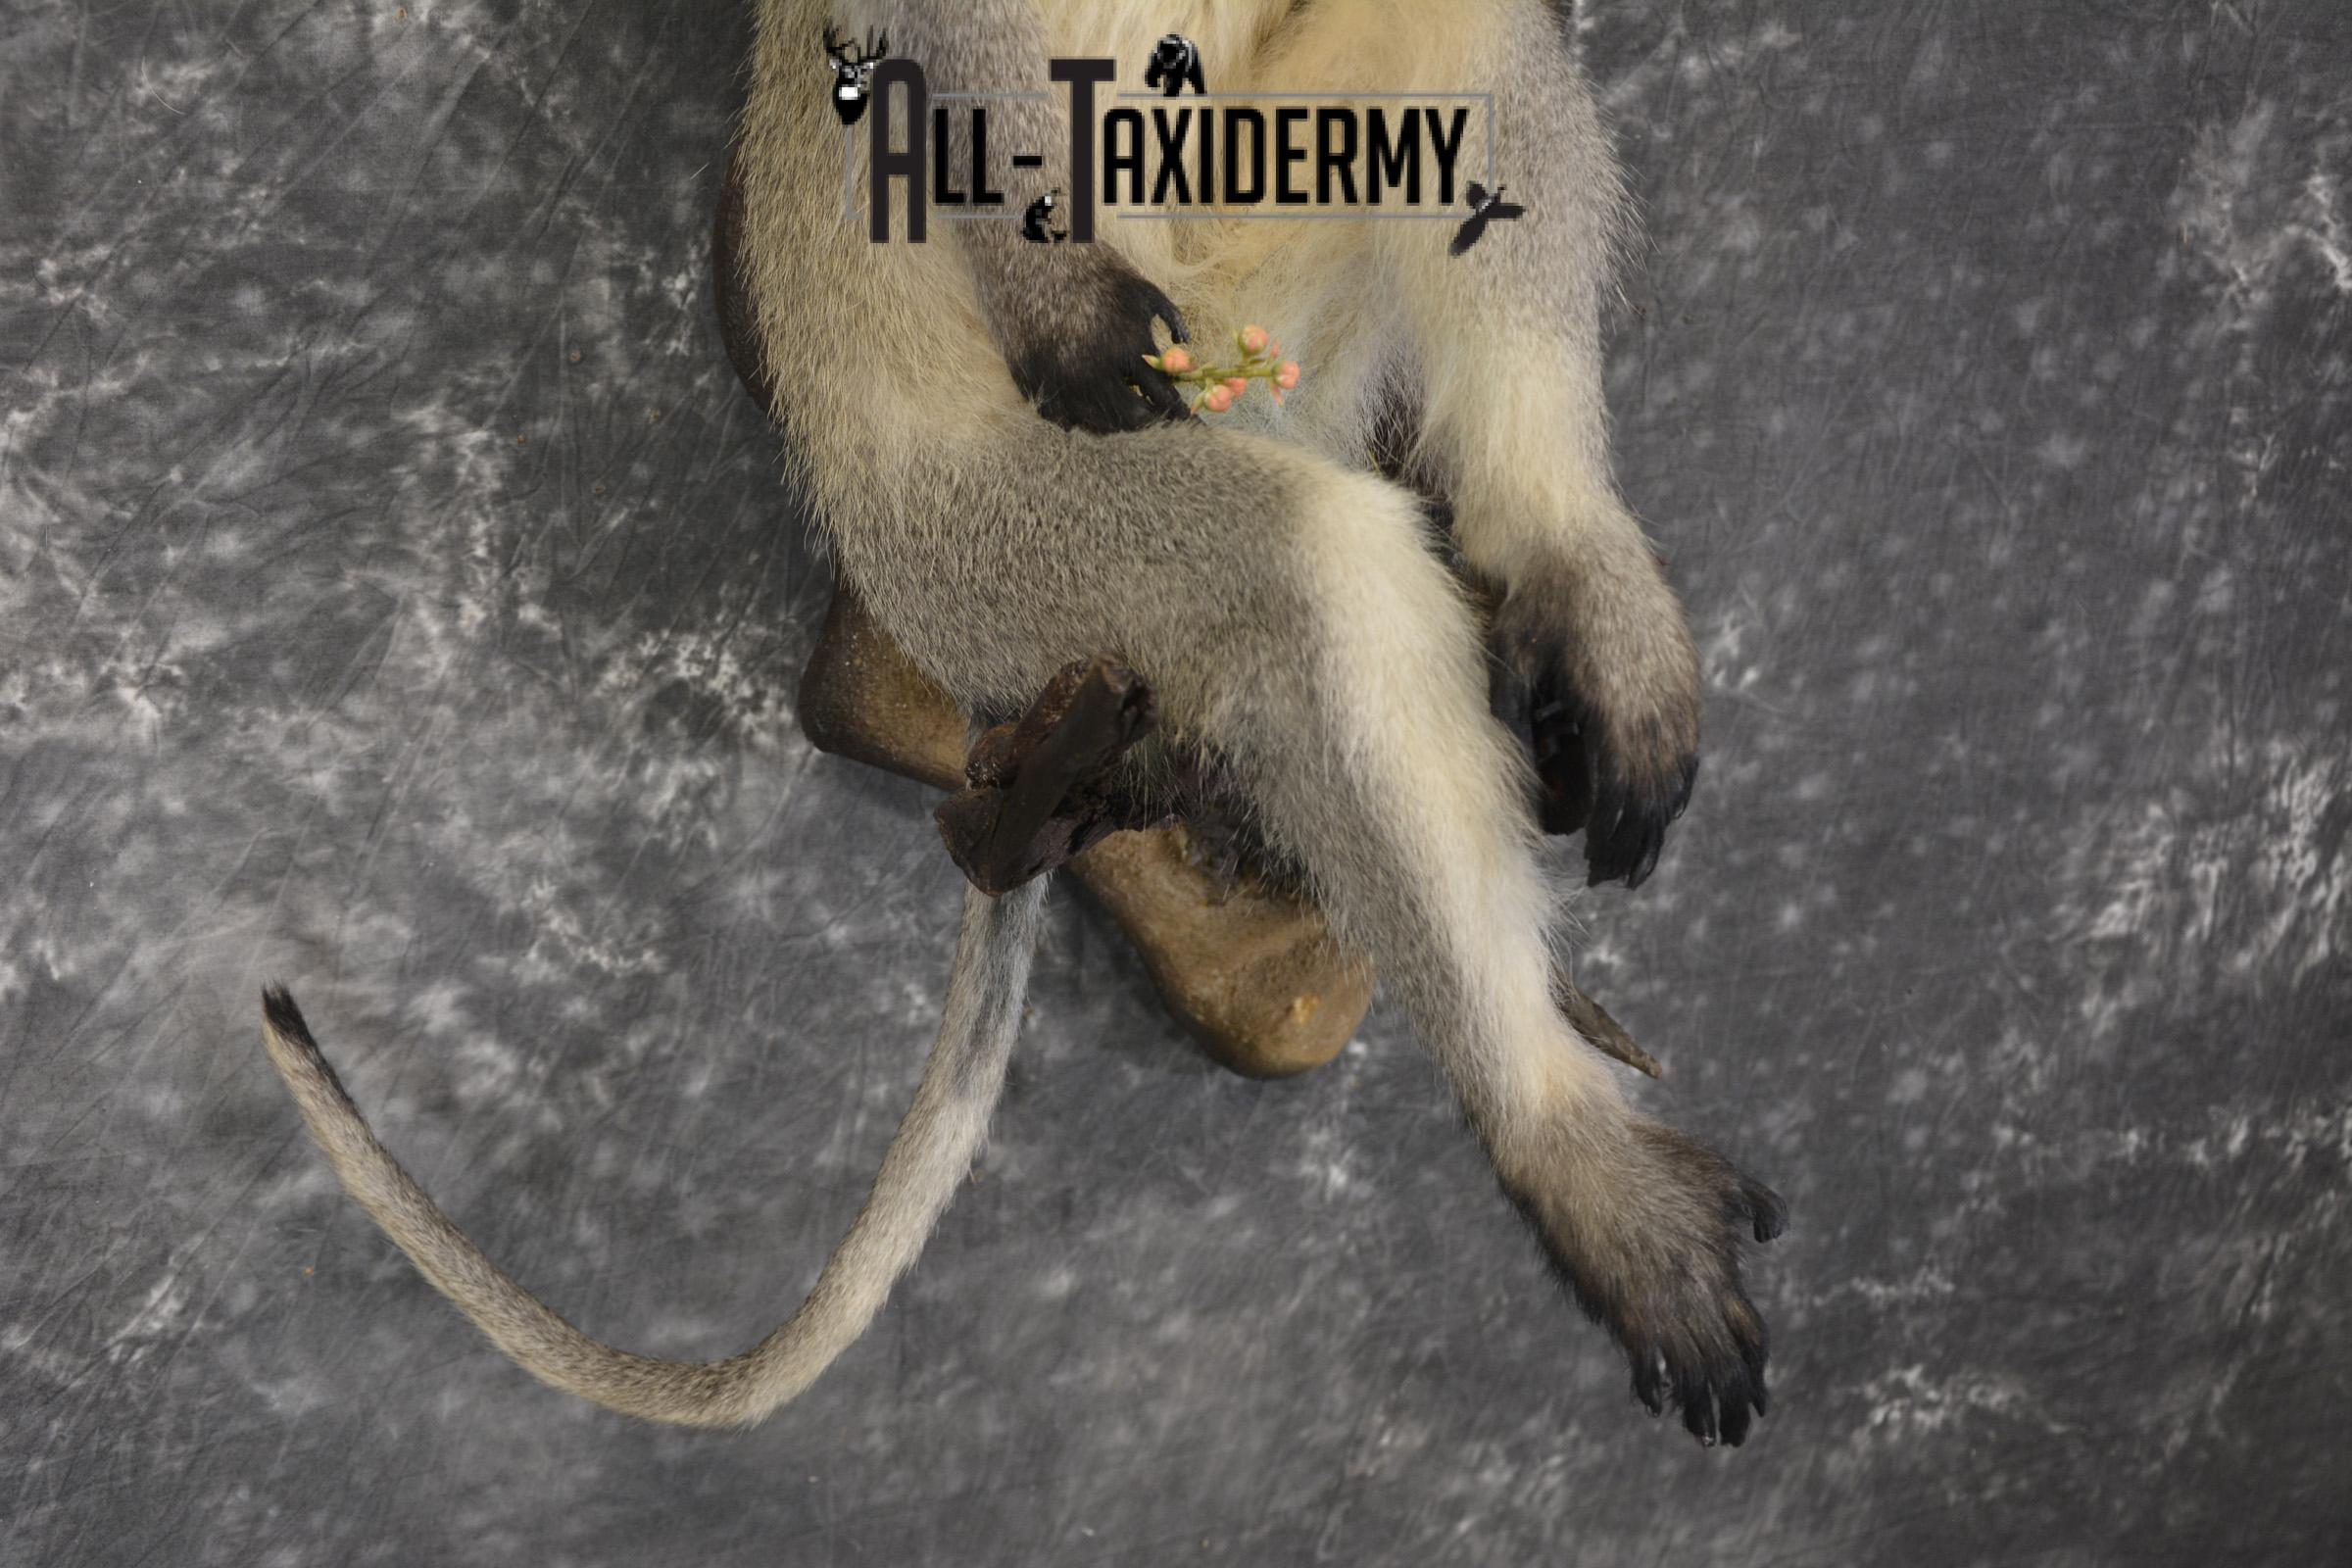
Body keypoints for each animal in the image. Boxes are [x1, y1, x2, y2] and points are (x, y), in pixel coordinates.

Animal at [261, 0, 1785, 1449]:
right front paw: (1059, 301)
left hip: (1259, 327)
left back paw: (1563, 548)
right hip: (997, 542)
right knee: (1308, 565)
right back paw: (1567, 1154)